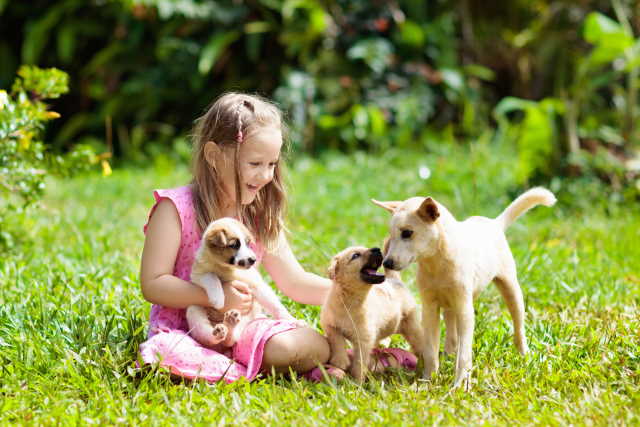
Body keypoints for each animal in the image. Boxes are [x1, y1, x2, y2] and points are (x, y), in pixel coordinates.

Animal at [186, 217, 302, 348]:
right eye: (234, 245)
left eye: (247, 243)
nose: (253, 260)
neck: (225, 267)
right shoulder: (198, 274)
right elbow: (212, 276)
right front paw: (218, 299)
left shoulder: (256, 285)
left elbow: (275, 305)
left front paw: (292, 320)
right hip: (193, 310)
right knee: (207, 335)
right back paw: (218, 332)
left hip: (244, 321)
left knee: (231, 339)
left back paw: (229, 324)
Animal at [320, 246, 424, 382]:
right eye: (355, 255)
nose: (377, 249)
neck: (350, 302)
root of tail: (394, 280)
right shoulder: (329, 323)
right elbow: (337, 339)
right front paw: (340, 361)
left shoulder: (364, 340)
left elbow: (359, 362)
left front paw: (357, 381)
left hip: (413, 328)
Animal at [372, 188, 556, 392]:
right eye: (392, 234)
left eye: (407, 233)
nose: (386, 263)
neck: (436, 263)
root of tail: (494, 224)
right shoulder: (430, 309)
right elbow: (430, 351)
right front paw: (427, 381)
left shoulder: (465, 310)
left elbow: (464, 354)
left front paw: (461, 385)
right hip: (449, 305)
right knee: (451, 334)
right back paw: (448, 354)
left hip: (510, 289)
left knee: (518, 327)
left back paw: (523, 353)